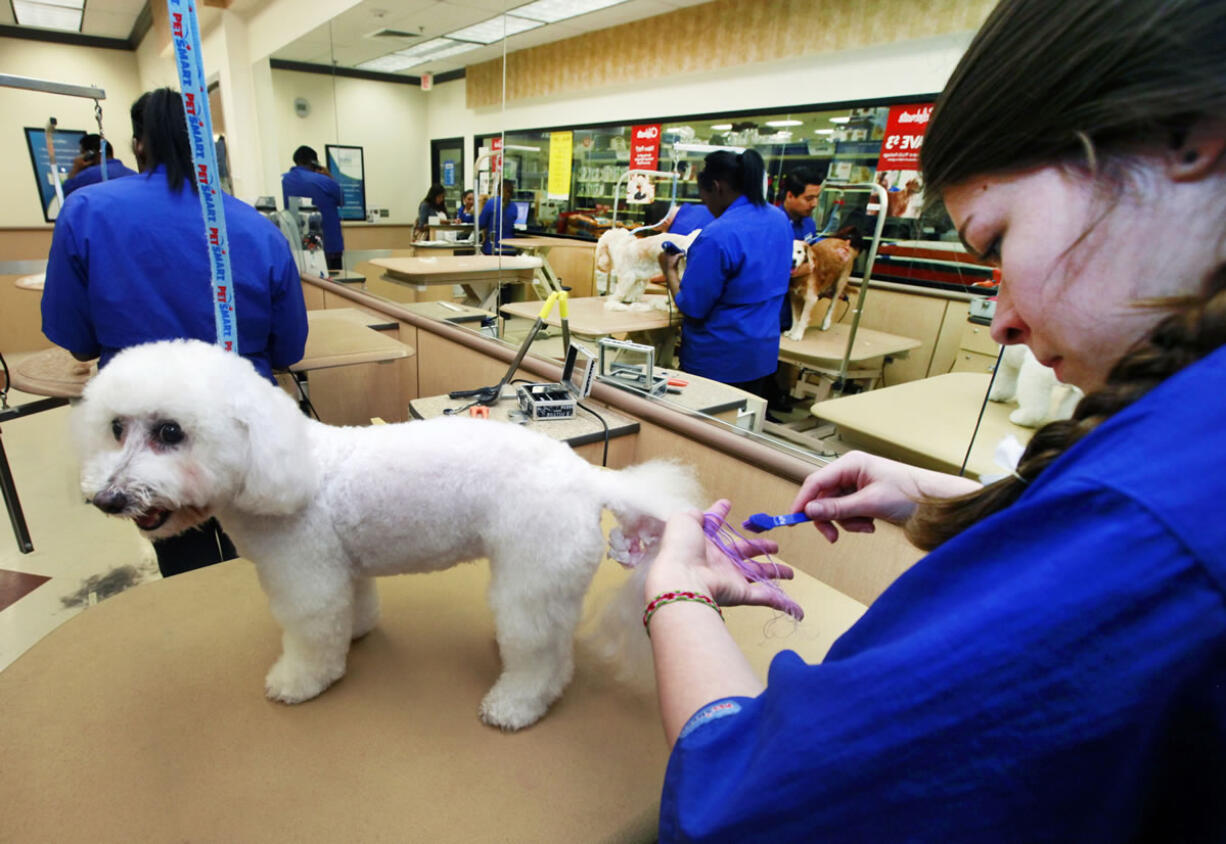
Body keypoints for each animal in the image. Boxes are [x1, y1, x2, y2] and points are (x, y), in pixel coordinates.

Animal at [74, 338, 701, 726]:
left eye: (171, 432)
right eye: (116, 427)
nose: (106, 499)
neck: (287, 464)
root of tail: (587, 476)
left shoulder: (304, 580)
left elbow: (309, 639)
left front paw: (300, 681)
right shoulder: (338, 569)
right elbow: (352, 606)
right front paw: (356, 632)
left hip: (531, 576)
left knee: (540, 658)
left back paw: (516, 706)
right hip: (549, 583)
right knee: (555, 648)